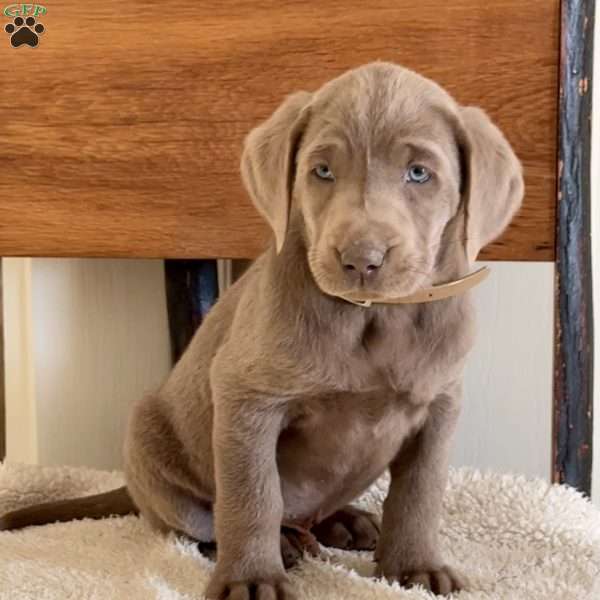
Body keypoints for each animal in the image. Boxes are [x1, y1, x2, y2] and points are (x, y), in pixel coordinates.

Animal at [0, 62, 524, 600]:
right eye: (322, 171)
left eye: (419, 173)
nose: (360, 258)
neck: (373, 316)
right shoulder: (247, 398)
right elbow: (253, 495)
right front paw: (252, 578)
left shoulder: (440, 404)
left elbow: (420, 491)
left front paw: (416, 567)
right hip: (151, 443)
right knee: (197, 524)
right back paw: (281, 544)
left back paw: (344, 522)